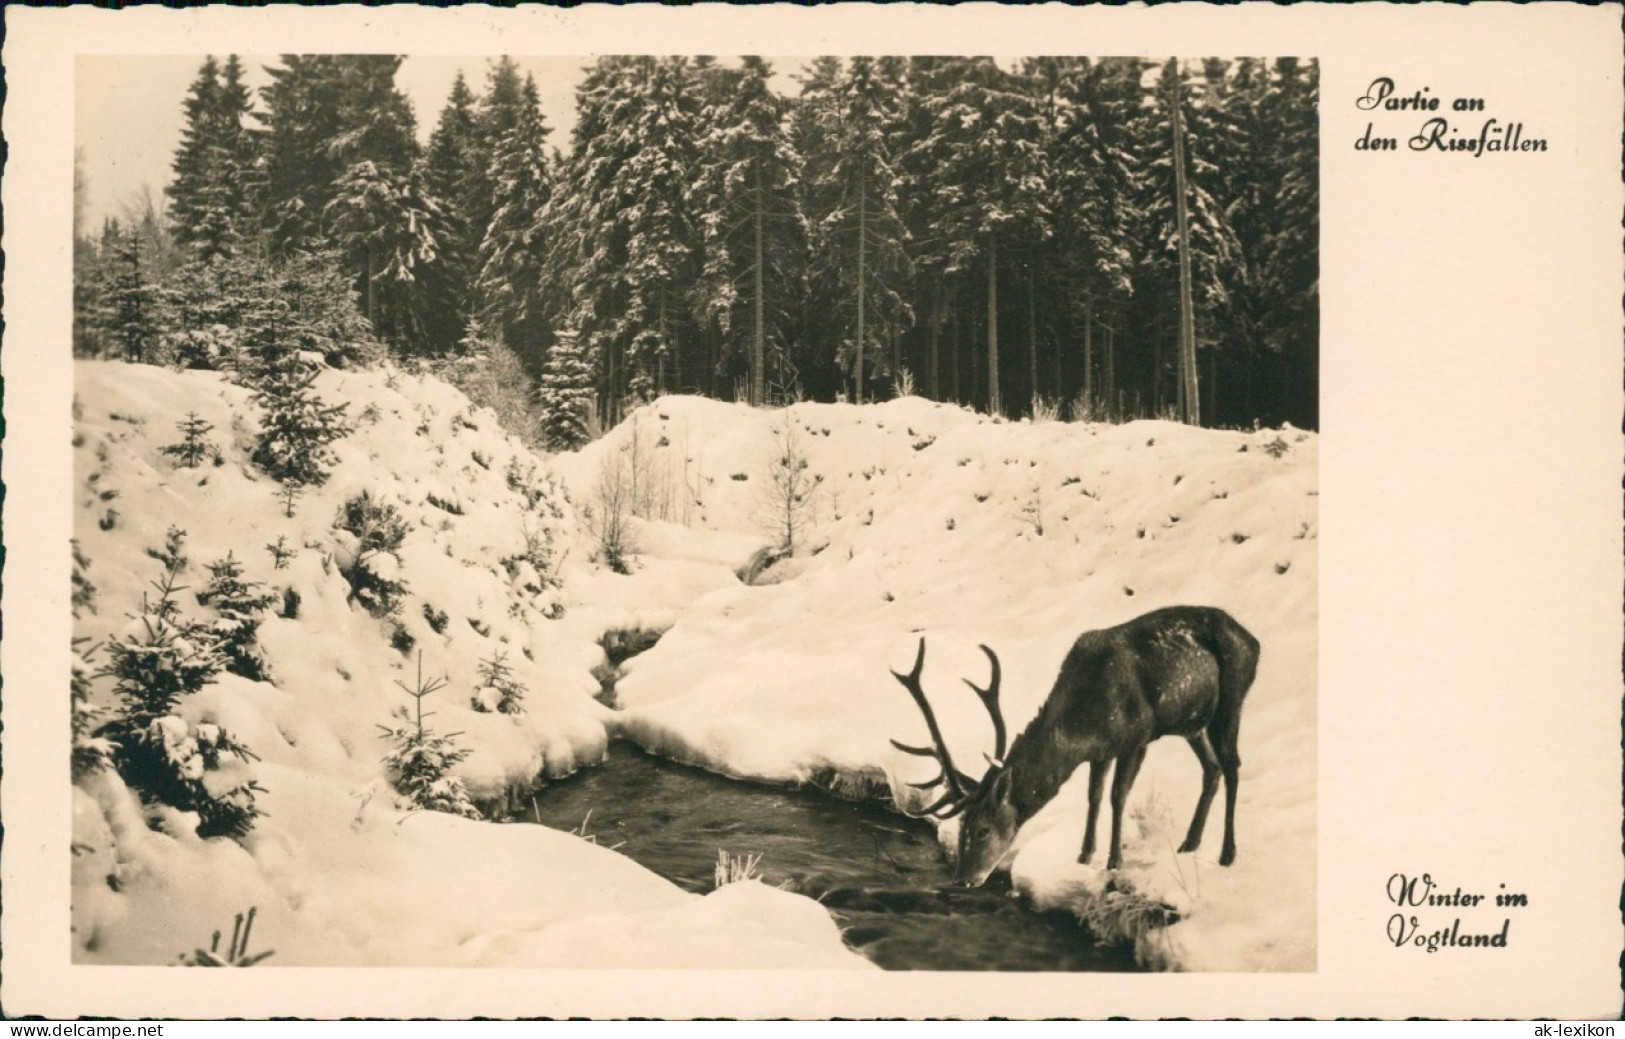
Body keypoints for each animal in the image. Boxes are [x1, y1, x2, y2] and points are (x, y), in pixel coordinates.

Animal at [890, 611, 1254, 884]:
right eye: (962, 825)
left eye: (982, 830)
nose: (963, 879)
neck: (1084, 722)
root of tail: (1253, 640)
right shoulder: (1102, 750)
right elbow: (1094, 797)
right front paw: (1083, 856)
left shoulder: (1137, 736)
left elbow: (1117, 796)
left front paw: (1114, 862)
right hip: (1192, 723)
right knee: (1212, 769)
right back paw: (1189, 843)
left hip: (1232, 699)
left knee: (1233, 765)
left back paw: (1227, 854)